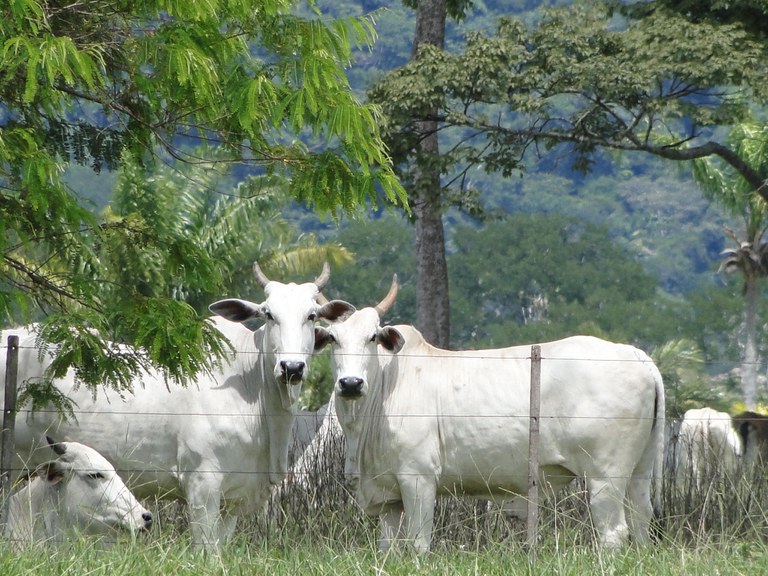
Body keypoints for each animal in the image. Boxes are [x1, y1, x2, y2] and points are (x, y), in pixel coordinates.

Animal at [312, 276, 664, 556]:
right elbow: (389, 548)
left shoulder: (418, 478)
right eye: (332, 339)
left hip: (606, 475)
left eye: (372, 337)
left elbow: (419, 542)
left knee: (613, 532)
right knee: (641, 518)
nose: (351, 383)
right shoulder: (388, 496)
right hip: (640, 469)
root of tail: (636, 354)